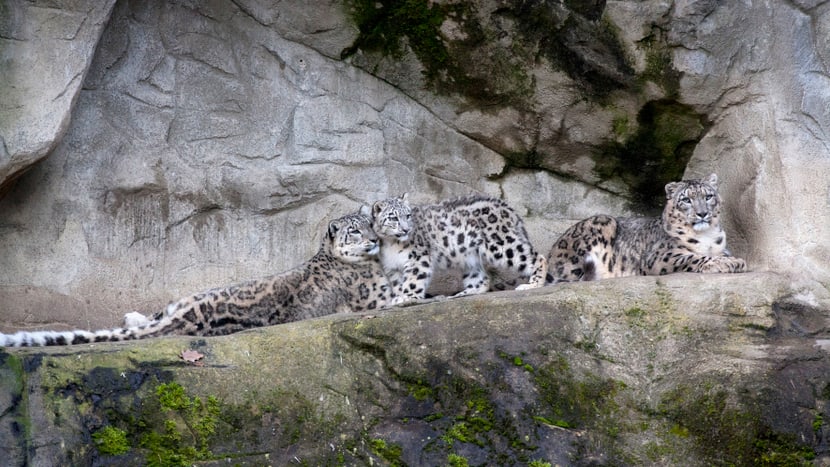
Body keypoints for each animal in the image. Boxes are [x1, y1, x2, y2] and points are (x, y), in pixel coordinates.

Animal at [0, 212, 394, 348]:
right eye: (355, 231)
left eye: (370, 225)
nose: (374, 239)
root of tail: (189, 314)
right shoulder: (374, 294)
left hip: (180, 300)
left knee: (153, 315)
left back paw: (132, 316)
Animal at [368, 193, 548, 306]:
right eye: (393, 217)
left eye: (408, 215)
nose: (406, 229)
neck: (391, 243)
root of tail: (506, 206)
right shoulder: (392, 267)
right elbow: (398, 284)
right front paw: (398, 297)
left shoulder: (417, 258)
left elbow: (413, 280)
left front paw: (407, 297)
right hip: (470, 257)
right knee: (482, 278)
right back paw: (463, 293)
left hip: (501, 244)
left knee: (535, 257)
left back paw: (532, 284)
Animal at [548, 172, 752, 282]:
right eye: (686, 199)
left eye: (708, 196)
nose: (702, 213)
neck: (706, 236)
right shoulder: (660, 255)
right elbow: (694, 257)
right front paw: (730, 263)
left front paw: (733, 260)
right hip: (601, 224)